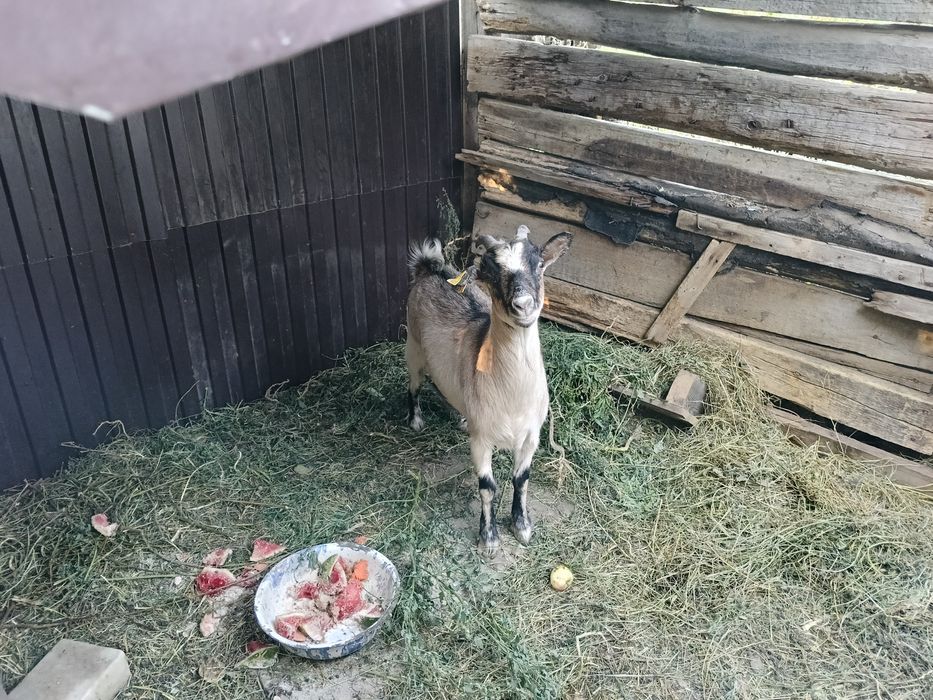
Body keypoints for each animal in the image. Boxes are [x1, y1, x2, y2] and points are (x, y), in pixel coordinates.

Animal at [405, 226, 572, 553]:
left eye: (539, 265)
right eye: (492, 272)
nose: (523, 305)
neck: (514, 395)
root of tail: (430, 268)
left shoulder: (531, 437)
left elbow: (522, 479)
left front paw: (522, 526)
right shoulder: (482, 440)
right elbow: (487, 487)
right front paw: (489, 538)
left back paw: (460, 418)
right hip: (413, 346)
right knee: (413, 385)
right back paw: (416, 420)